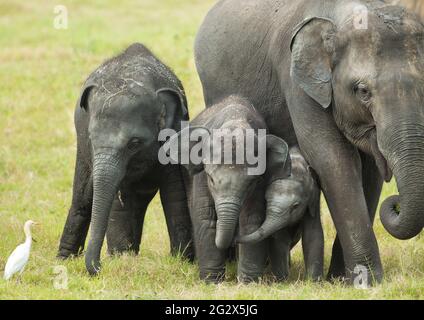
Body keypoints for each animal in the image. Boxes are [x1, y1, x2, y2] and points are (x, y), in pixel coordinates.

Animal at [57, 42, 194, 276]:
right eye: (92, 139)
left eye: (134, 143)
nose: (98, 267)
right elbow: (118, 201)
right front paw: (121, 260)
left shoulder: (175, 133)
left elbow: (176, 194)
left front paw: (183, 261)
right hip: (81, 151)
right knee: (82, 197)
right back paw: (63, 259)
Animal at [238, 146, 324, 282]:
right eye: (266, 200)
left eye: (296, 206)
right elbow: (279, 237)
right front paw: (282, 281)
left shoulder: (313, 199)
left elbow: (313, 234)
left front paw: (314, 282)